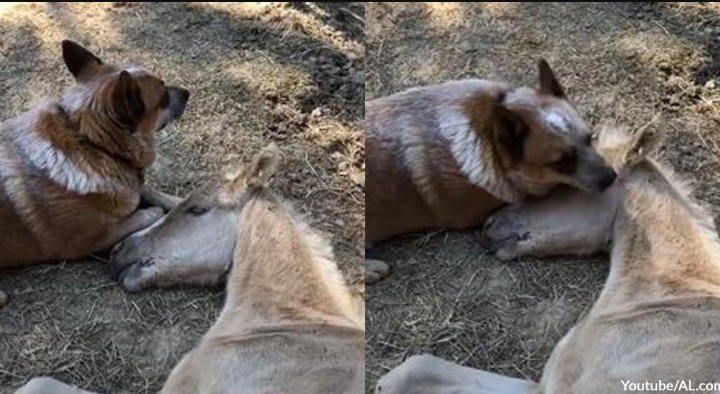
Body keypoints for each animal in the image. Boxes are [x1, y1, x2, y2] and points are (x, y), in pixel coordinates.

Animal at [0, 40, 188, 304]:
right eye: (162, 95)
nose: (187, 93)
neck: (90, 142)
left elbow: (154, 193)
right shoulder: (91, 239)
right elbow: (151, 212)